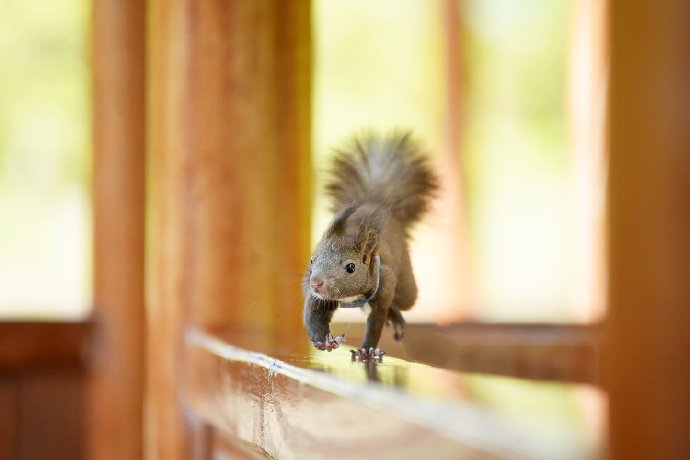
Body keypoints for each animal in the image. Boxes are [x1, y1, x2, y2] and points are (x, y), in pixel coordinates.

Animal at [300, 131, 436, 358]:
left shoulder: (384, 285)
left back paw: (396, 319)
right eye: (312, 260)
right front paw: (322, 340)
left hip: (406, 288)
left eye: (350, 267)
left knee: (400, 302)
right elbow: (314, 315)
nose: (316, 282)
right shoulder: (317, 297)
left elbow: (376, 321)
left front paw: (367, 350)